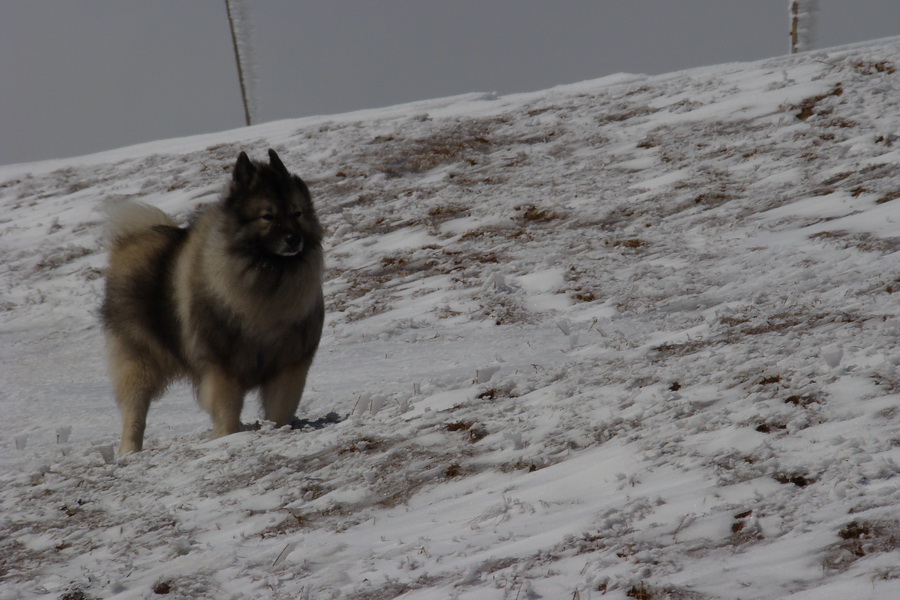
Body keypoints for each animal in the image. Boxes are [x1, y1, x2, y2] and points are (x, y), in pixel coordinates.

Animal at [101, 150, 324, 454]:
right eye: (267, 216)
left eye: (297, 213)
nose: (294, 239)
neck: (266, 284)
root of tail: (133, 239)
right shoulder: (222, 367)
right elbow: (226, 409)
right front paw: (228, 437)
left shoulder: (289, 364)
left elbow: (280, 409)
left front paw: (276, 430)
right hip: (139, 360)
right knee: (135, 409)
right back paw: (129, 452)